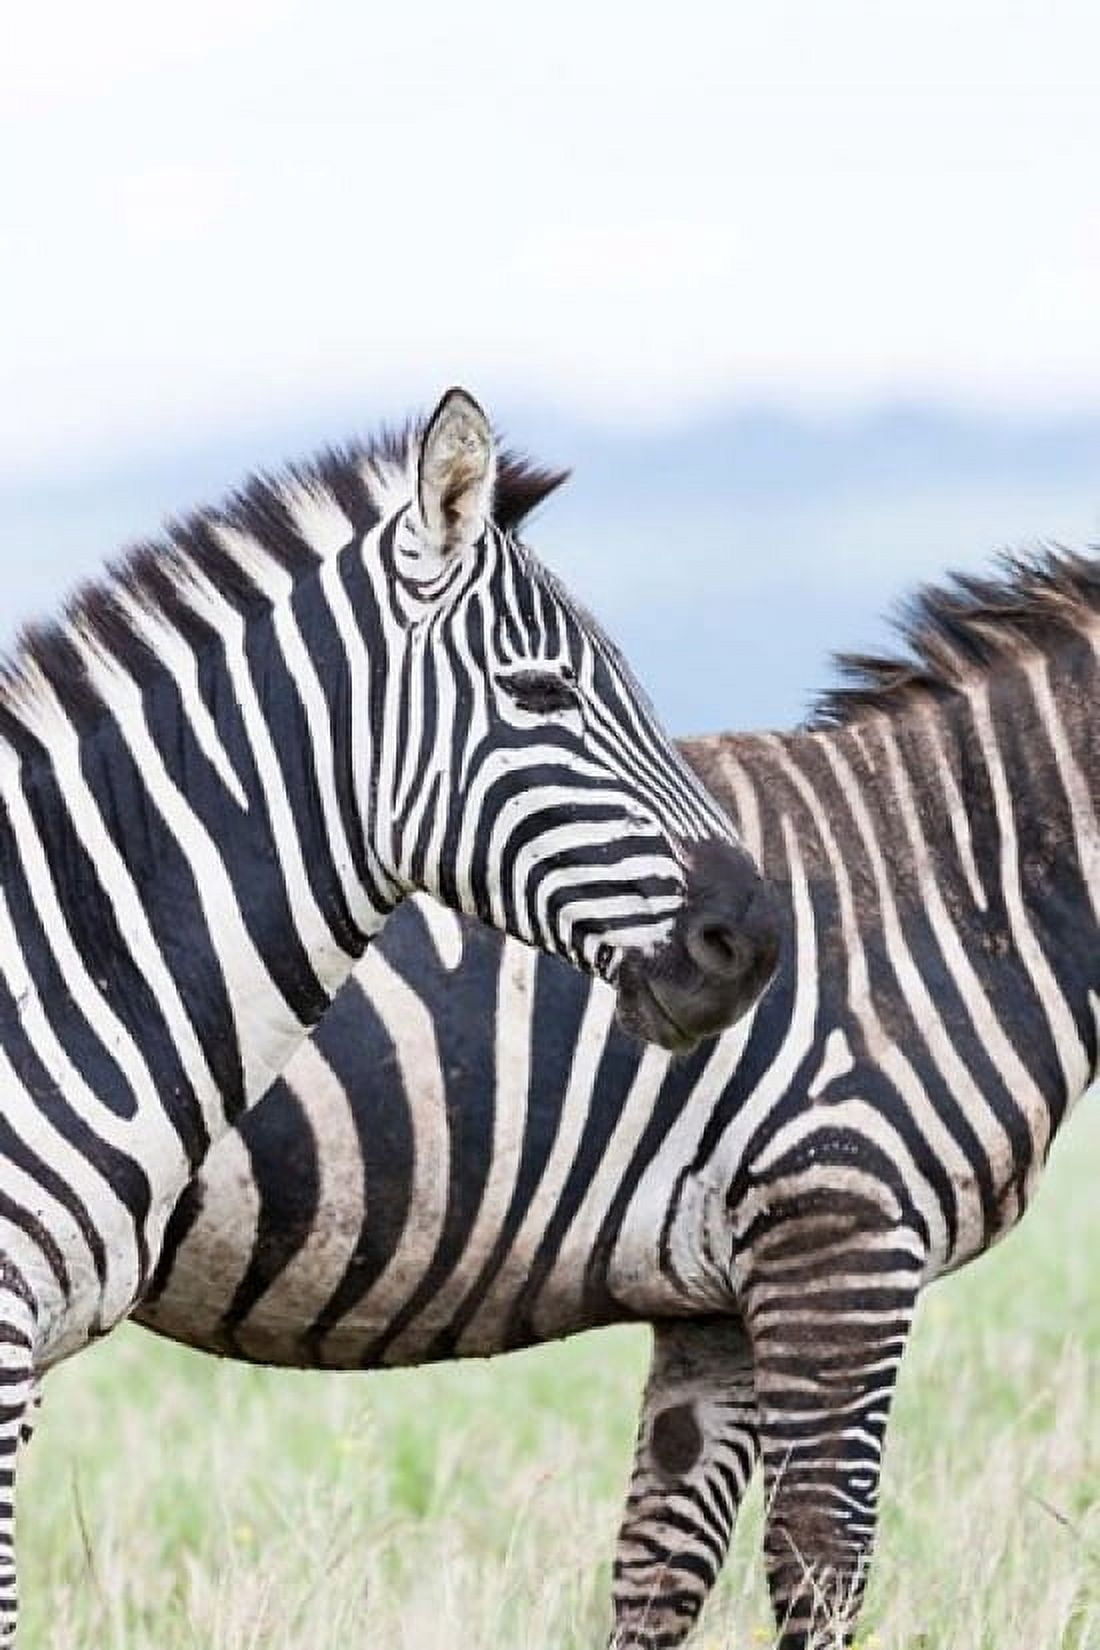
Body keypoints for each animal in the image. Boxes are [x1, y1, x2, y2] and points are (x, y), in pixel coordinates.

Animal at [137, 542, 1100, 1648]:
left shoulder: (718, 1301)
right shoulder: (839, 1234)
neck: (967, 882)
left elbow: (660, 1573)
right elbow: (821, 1563)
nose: (753, 955)